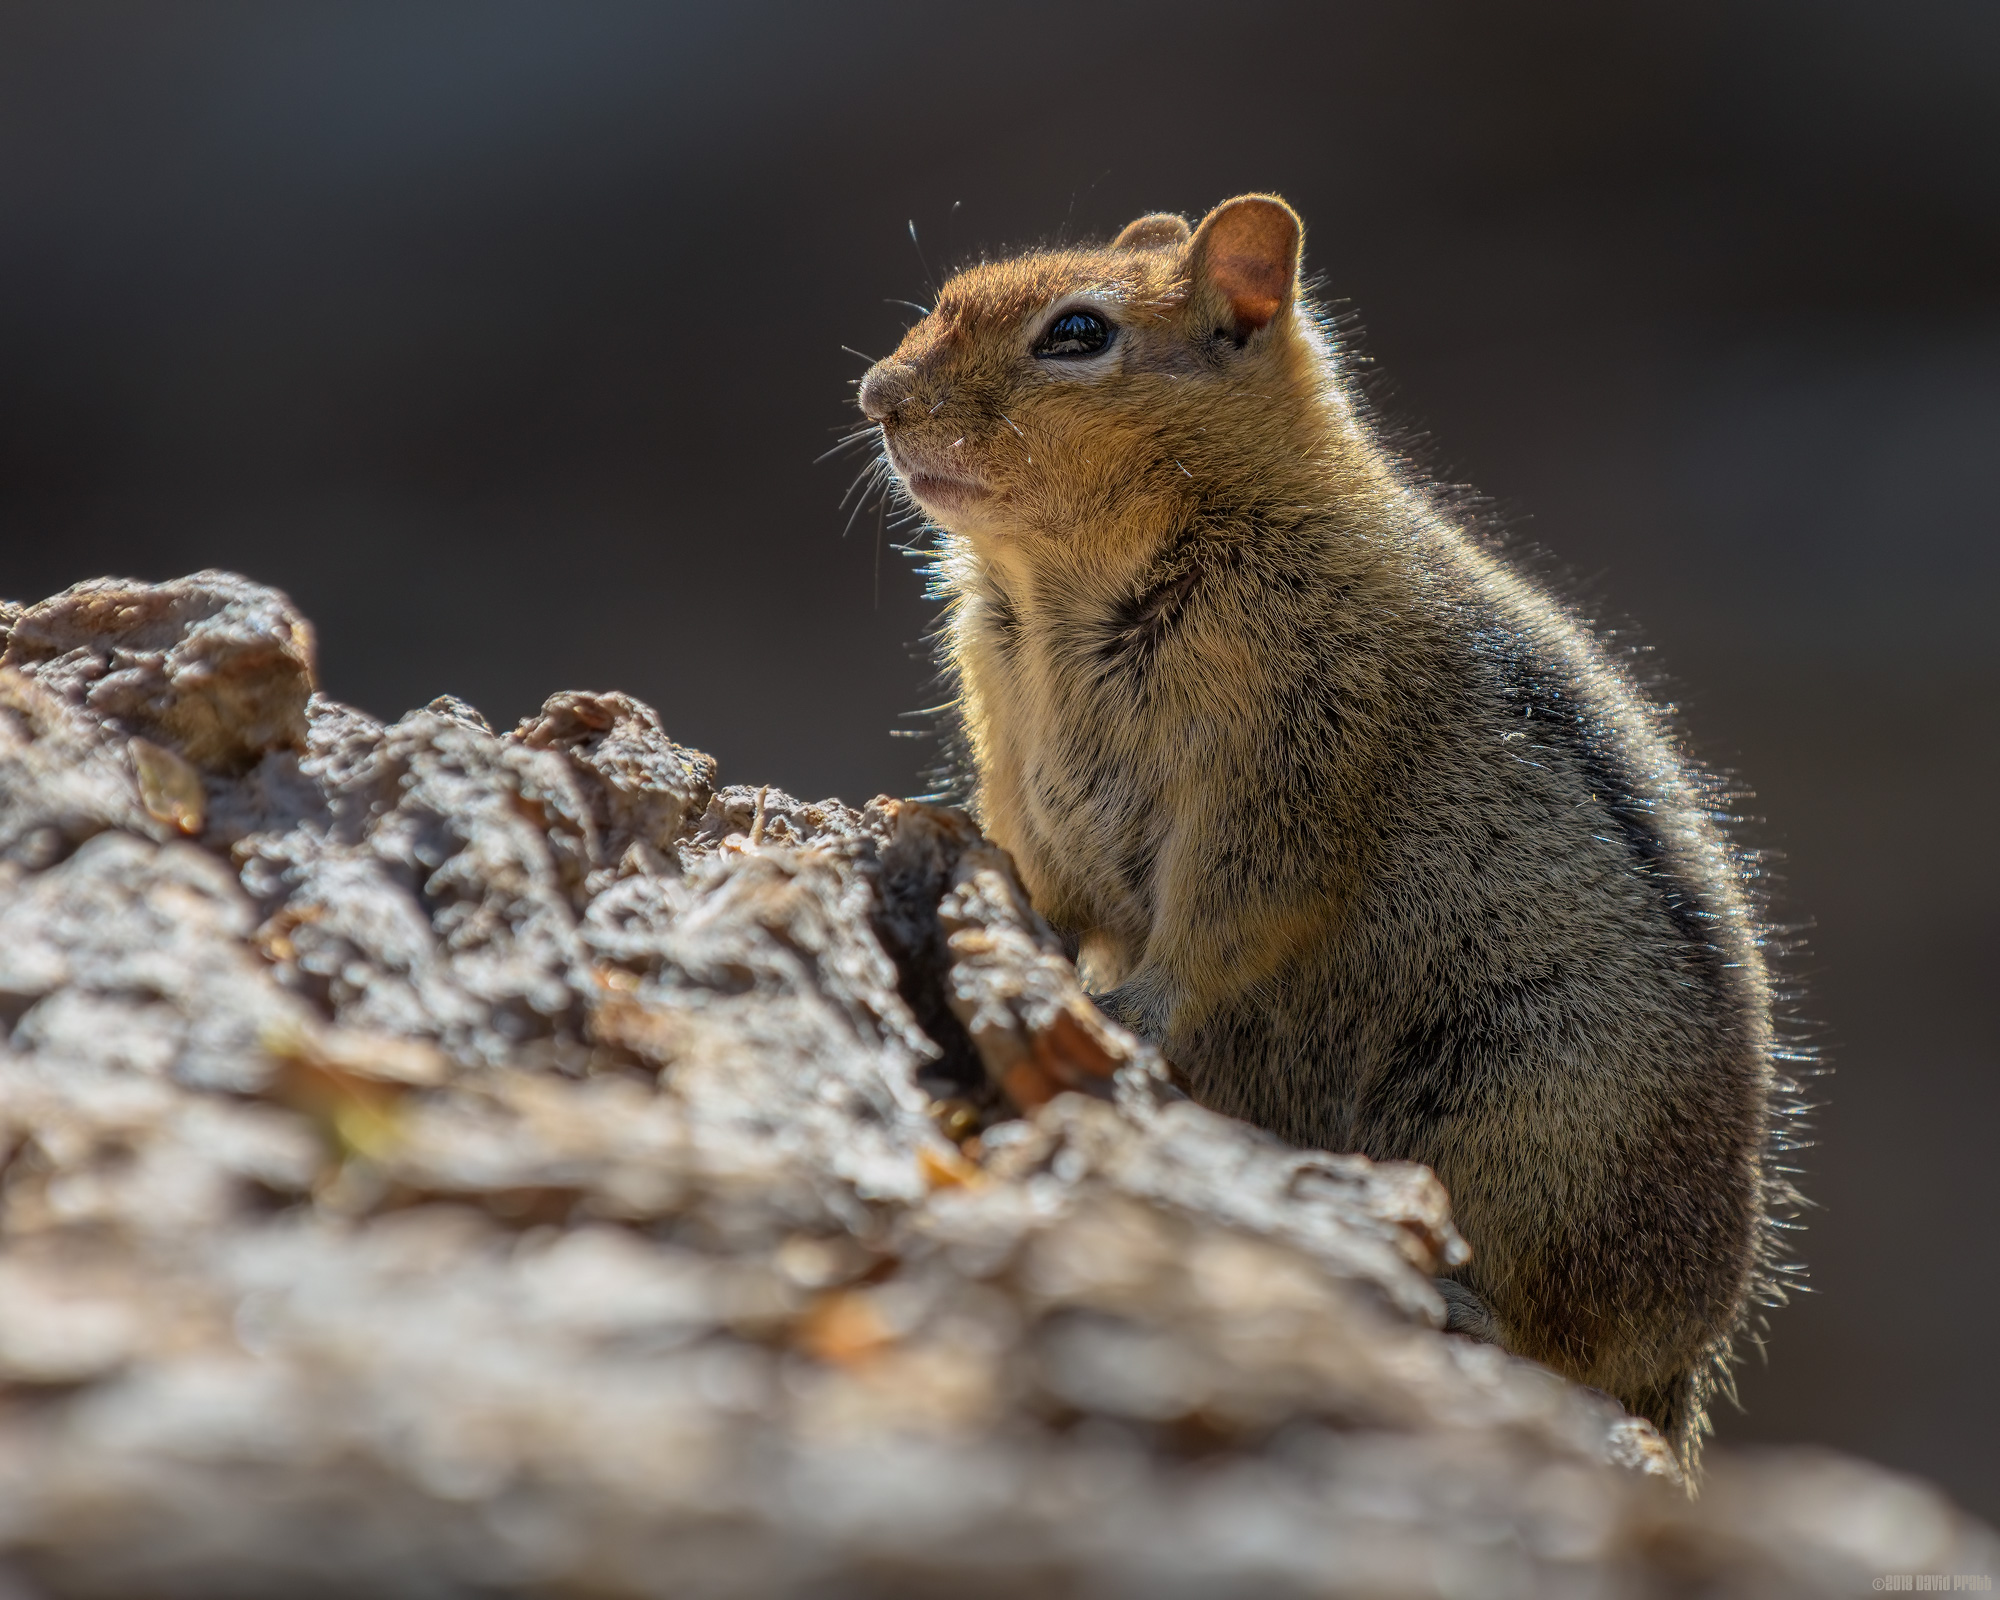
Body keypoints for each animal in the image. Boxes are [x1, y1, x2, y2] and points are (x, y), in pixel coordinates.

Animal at [855, 194, 1801, 1473]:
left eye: (1077, 333)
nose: (877, 394)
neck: (1059, 587)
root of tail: (1685, 1371)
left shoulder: (1289, 760)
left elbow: (1223, 920)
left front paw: (1126, 1008)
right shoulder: (1016, 750)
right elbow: (1042, 880)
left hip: (1525, 1105)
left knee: (1561, 1337)